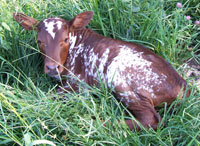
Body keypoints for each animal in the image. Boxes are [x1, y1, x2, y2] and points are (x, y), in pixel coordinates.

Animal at [13, 11, 190, 130]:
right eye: (39, 41)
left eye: (65, 39)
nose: (51, 67)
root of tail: (183, 86)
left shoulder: (79, 83)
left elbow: (43, 98)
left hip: (119, 77)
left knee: (151, 118)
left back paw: (95, 122)